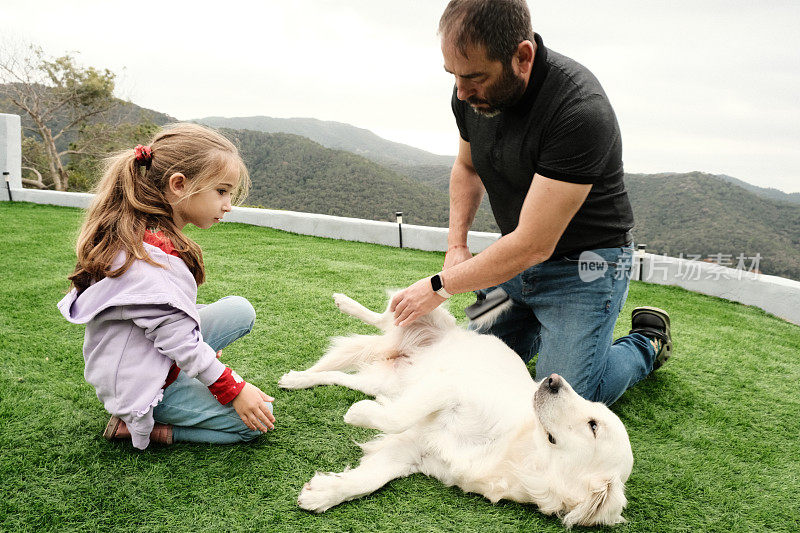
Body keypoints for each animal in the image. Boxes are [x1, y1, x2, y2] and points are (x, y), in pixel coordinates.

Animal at [278, 294, 636, 524]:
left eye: (593, 424)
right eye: (593, 409)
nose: (552, 380)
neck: (514, 451)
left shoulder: (413, 452)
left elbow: (369, 480)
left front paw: (324, 493)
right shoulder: (452, 387)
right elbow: (398, 417)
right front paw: (359, 415)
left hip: (381, 383)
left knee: (337, 375)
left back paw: (297, 378)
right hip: (425, 315)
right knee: (389, 313)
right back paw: (344, 302)